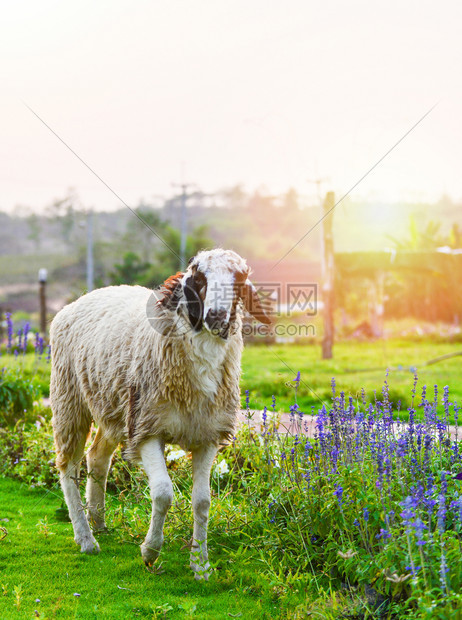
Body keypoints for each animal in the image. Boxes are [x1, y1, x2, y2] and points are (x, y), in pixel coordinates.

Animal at [50, 248, 270, 580]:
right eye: (199, 278)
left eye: (240, 279)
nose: (217, 317)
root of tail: (84, 298)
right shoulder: (147, 429)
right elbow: (164, 493)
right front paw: (150, 551)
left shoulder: (207, 436)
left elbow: (202, 501)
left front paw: (201, 564)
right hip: (69, 399)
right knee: (68, 466)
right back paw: (85, 537)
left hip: (113, 408)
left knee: (97, 458)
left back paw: (99, 522)